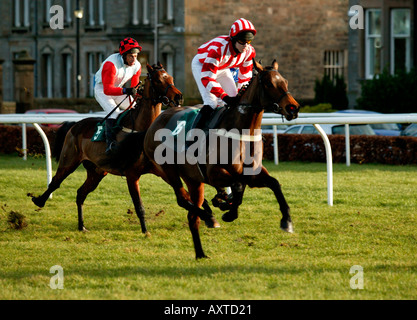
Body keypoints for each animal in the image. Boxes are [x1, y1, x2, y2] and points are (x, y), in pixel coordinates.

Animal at [31, 62, 182, 234]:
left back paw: (81, 225)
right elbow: (139, 206)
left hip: (96, 171)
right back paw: (39, 201)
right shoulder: (131, 174)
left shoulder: (159, 170)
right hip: (69, 161)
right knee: (55, 182)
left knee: (80, 193)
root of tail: (75, 125)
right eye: (158, 80)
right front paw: (145, 231)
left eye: (171, 78)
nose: (178, 97)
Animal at [142, 60, 300, 258]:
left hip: (193, 179)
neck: (242, 132)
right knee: (182, 200)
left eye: (284, 81)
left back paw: (201, 252)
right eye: (269, 83)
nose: (293, 108)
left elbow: (274, 183)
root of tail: (156, 120)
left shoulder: (252, 174)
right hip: (169, 171)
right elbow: (238, 186)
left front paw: (286, 221)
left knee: (191, 215)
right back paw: (208, 216)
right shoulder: (214, 173)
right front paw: (227, 210)